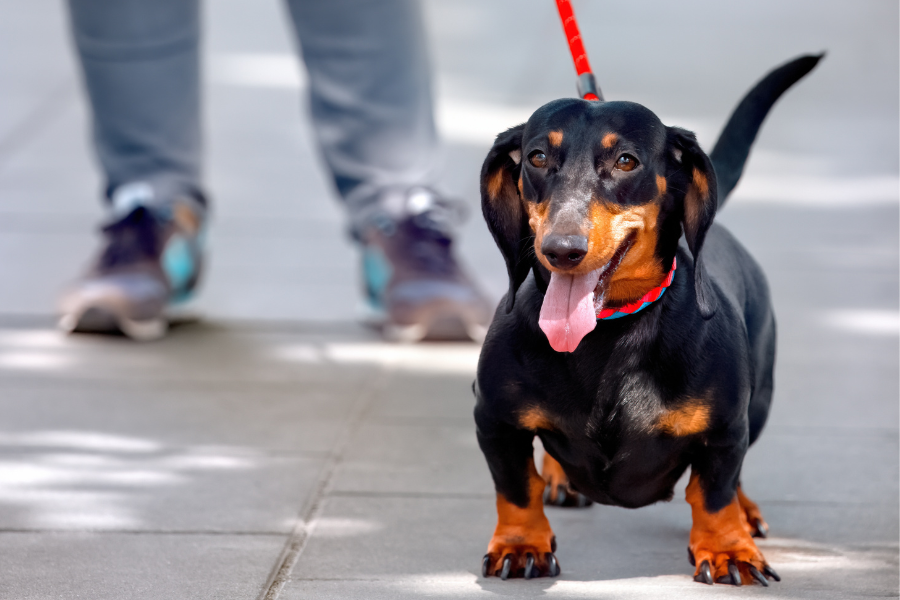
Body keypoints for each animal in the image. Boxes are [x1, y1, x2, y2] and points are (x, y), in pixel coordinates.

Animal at [474, 54, 820, 584]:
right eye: (536, 157)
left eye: (625, 161)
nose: (561, 250)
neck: (609, 330)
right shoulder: (492, 418)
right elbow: (515, 486)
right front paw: (520, 544)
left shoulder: (726, 429)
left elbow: (714, 491)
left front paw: (728, 550)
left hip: (758, 404)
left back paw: (746, 513)